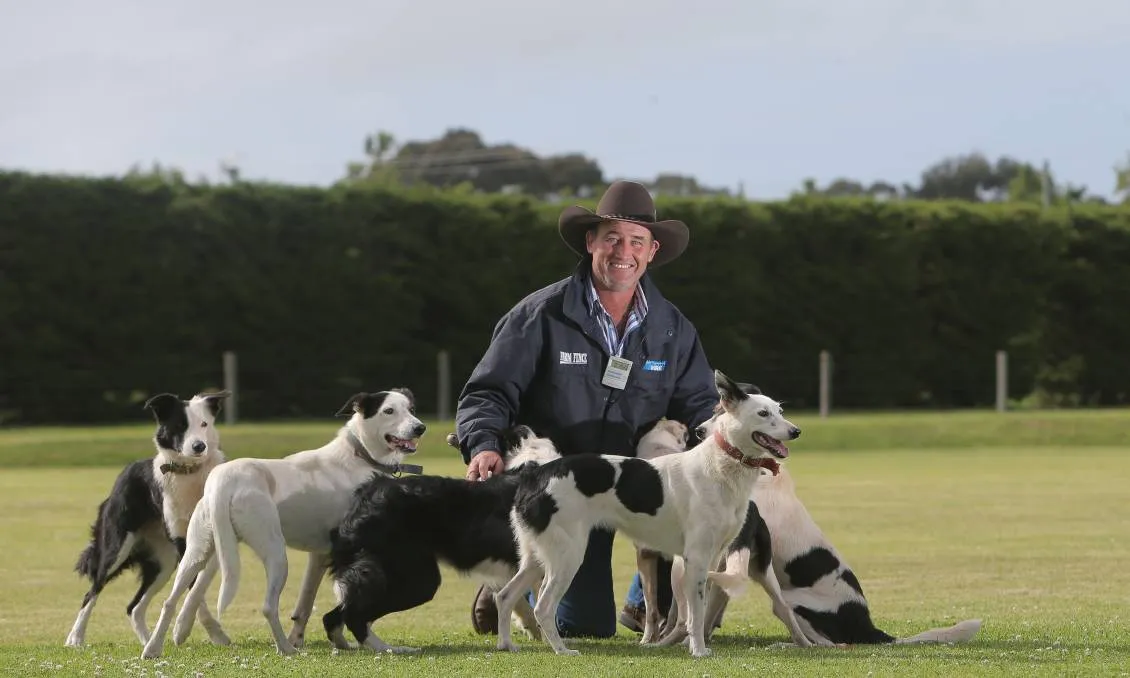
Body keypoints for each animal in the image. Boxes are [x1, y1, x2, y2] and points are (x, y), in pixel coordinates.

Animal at [65, 390, 231, 650]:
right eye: (180, 425)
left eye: (204, 424)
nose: (199, 446)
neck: (190, 472)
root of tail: (126, 470)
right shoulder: (183, 542)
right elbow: (192, 589)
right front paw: (183, 629)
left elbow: (197, 588)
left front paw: (210, 633)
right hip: (117, 549)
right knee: (92, 592)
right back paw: (76, 637)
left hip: (163, 562)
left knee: (133, 607)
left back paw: (147, 641)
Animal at [138, 388, 424, 659]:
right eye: (389, 411)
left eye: (411, 409)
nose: (420, 427)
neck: (360, 453)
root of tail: (224, 480)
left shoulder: (319, 555)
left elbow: (305, 604)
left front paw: (308, 636)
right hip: (275, 554)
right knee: (267, 606)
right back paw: (286, 649)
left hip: (199, 552)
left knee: (171, 601)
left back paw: (153, 648)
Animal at [323, 427, 560, 655]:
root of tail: (370, 491)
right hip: (416, 578)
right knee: (352, 616)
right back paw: (391, 649)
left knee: (334, 616)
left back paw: (345, 645)